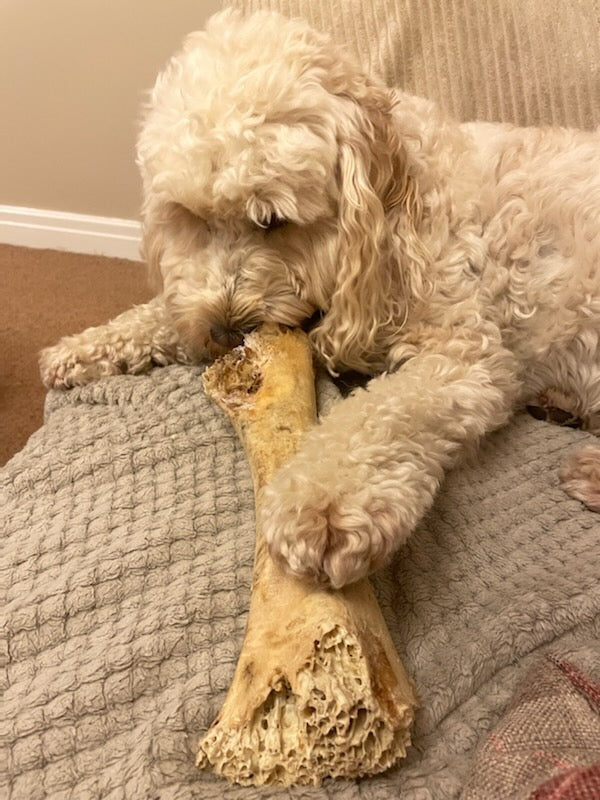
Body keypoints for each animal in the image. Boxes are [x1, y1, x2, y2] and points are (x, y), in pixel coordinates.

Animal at [39, 9, 600, 588]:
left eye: (272, 220)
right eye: (192, 218)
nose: (223, 334)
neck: (392, 214)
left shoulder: (466, 355)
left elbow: (383, 412)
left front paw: (322, 504)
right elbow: (163, 316)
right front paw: (83, 347)